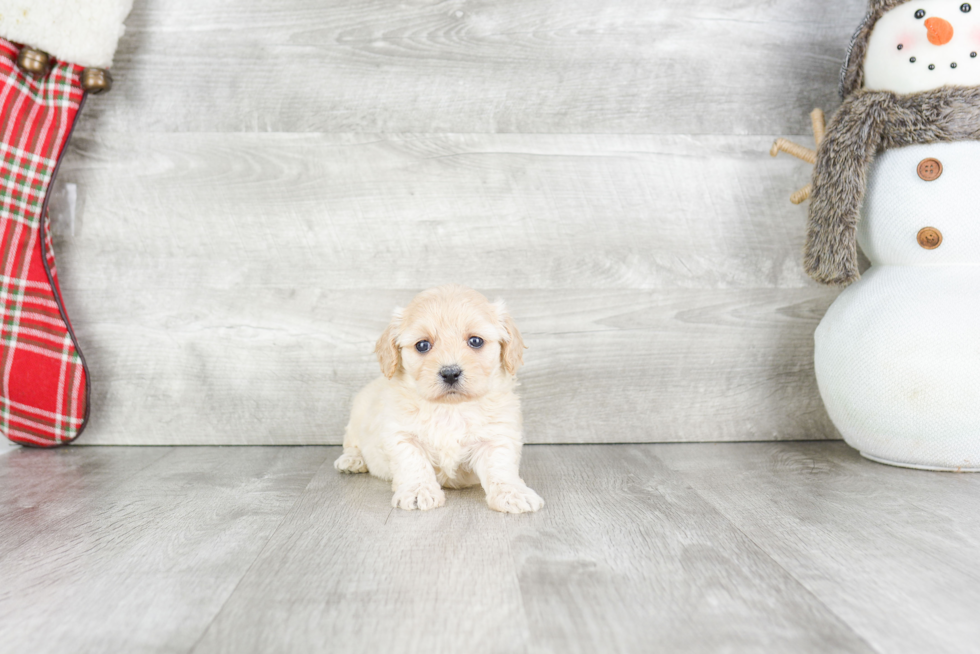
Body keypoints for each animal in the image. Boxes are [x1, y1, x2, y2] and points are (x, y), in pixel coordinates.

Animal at [334, 288, 540, 516]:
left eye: (476, 341)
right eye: (423, 345)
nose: (450, 373)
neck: (450, 408)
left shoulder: (496, 437)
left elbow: (500, 467)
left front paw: (513, 493)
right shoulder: (401, 435)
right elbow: (413, 463)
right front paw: (418, 491)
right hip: (356, 416)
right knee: (351, 443)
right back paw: (352, 460)